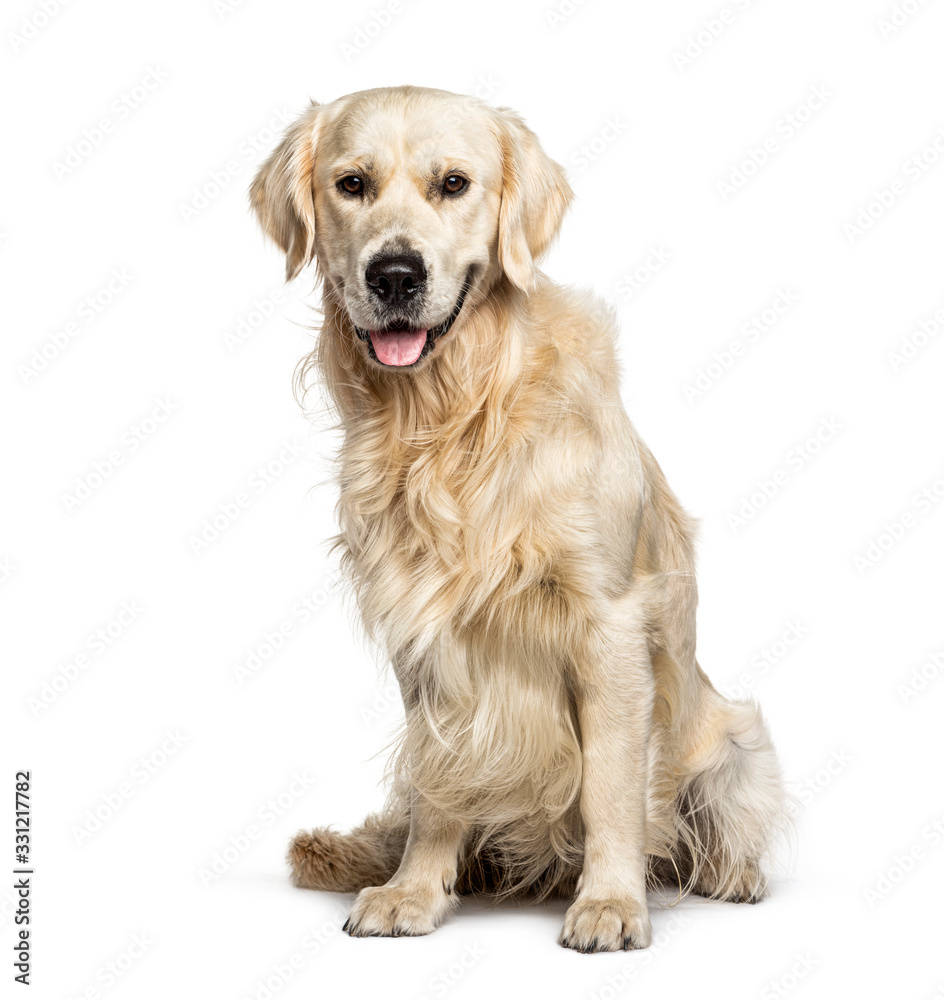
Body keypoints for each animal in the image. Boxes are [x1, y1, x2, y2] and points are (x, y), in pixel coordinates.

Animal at [247, 86, 784, 952]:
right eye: (352, 184)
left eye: (454, 184)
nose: (394, 275)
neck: (452, 419)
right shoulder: (425, 630)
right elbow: (438, 775)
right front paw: (415, 890)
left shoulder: (608, 624)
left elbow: (608, 787)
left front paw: (611, 903)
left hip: (738, 740)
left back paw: (728, 874)